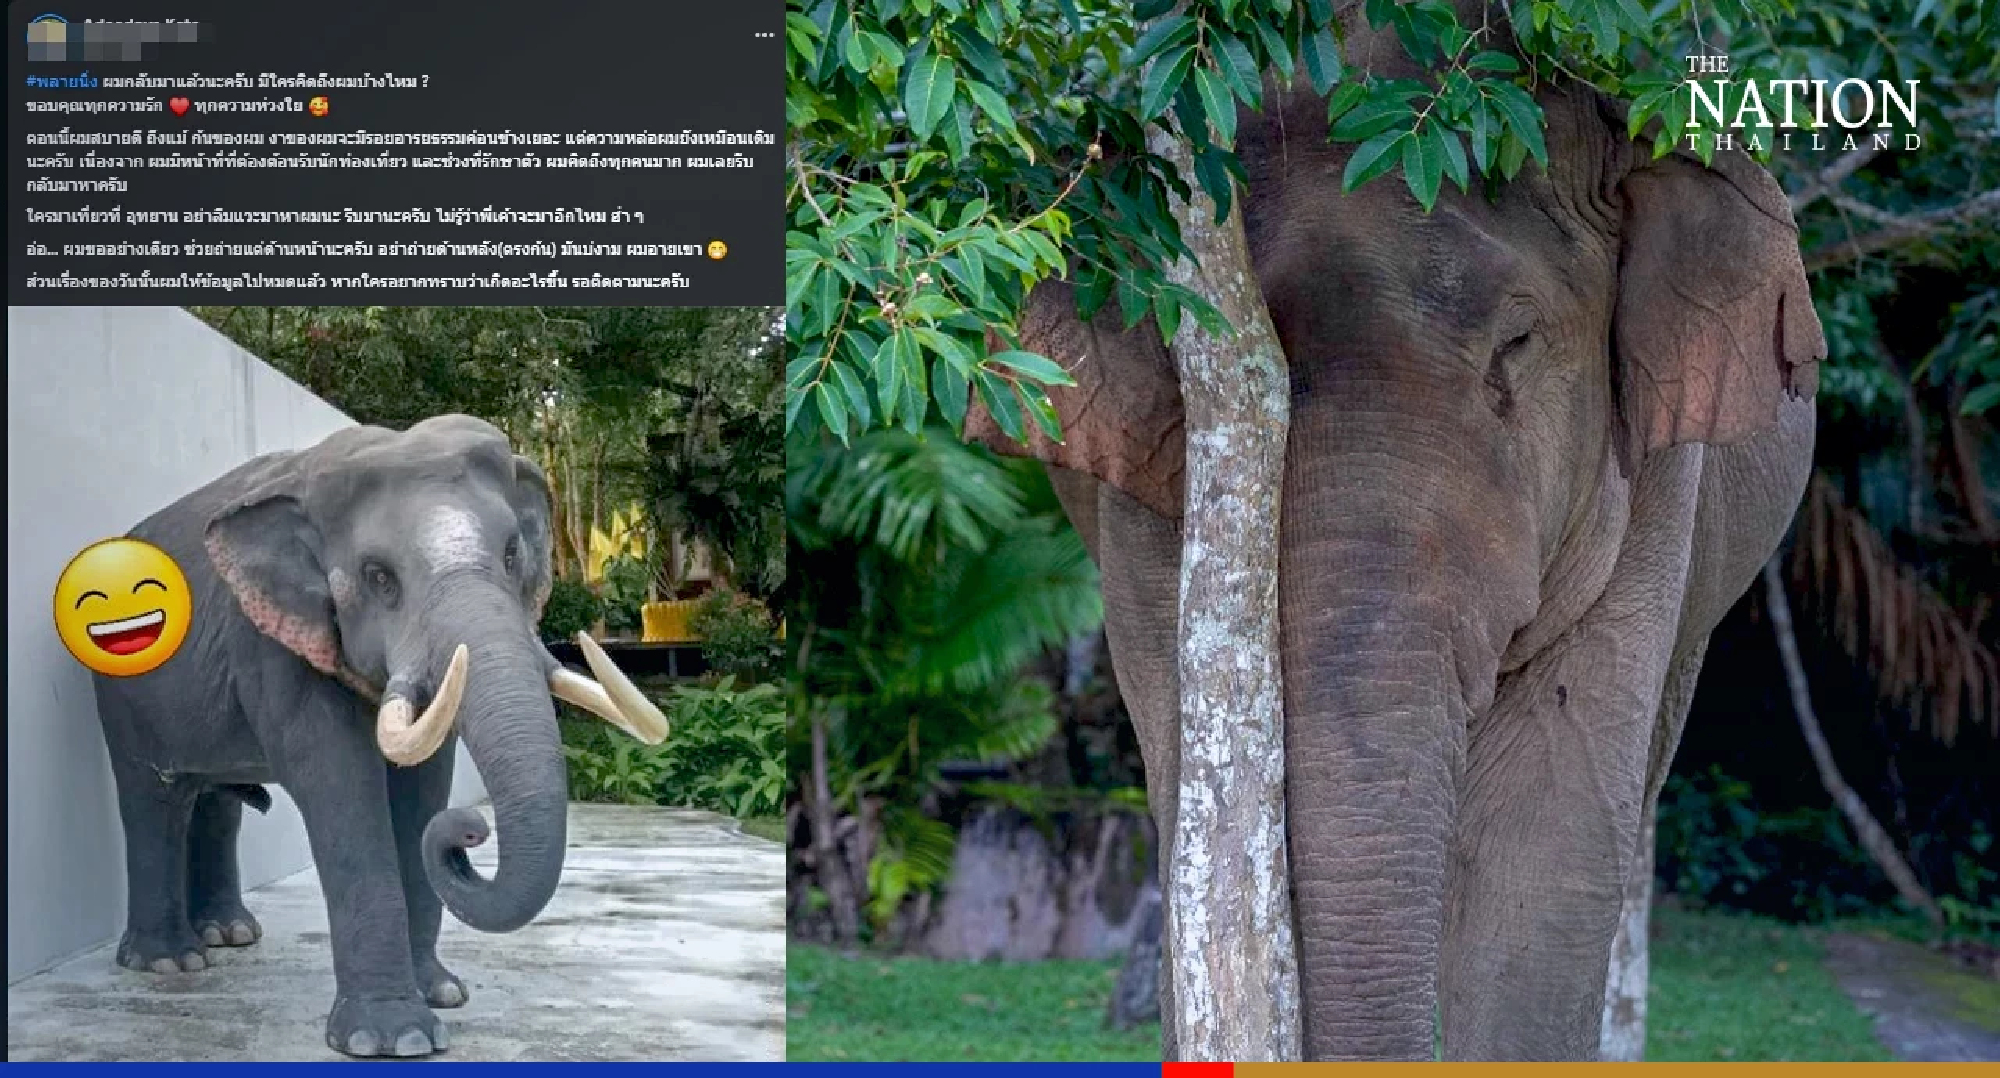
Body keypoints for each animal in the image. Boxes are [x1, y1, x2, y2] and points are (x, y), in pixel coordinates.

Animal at [87, 414, 669, 1057]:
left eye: (512, 554)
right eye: (378, 577)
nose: (472, 830)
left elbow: (423, 786)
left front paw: (444, 995)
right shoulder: (269, 643)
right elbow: (342, 785)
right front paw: (395, 1039)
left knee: (213, 802)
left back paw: (230, 934)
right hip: (119, 693)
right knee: (154, 800)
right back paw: (171, 963)